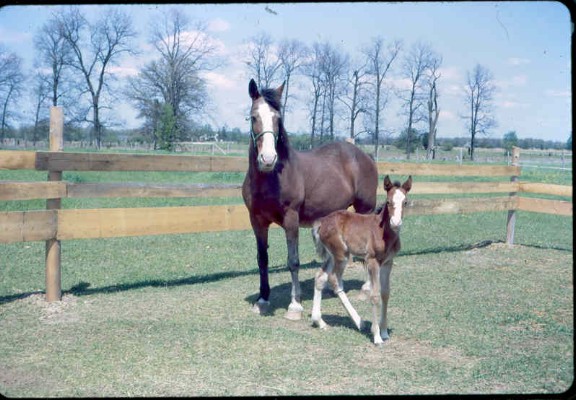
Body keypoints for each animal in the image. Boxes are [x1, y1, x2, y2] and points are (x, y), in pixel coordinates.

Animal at [312, 177, 412, 346]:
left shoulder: (388, 263)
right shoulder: (372, 261)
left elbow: (385, 293)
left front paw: (384, 332)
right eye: (388, 201)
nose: (396, 223)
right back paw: (359, 322)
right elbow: (375, 295)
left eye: (405, 202)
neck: (383, 232)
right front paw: (377, 336)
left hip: (332, 256)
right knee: (334, 280)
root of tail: (322, 222)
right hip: (341, 255)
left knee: (320, 277)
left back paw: (319, 321)